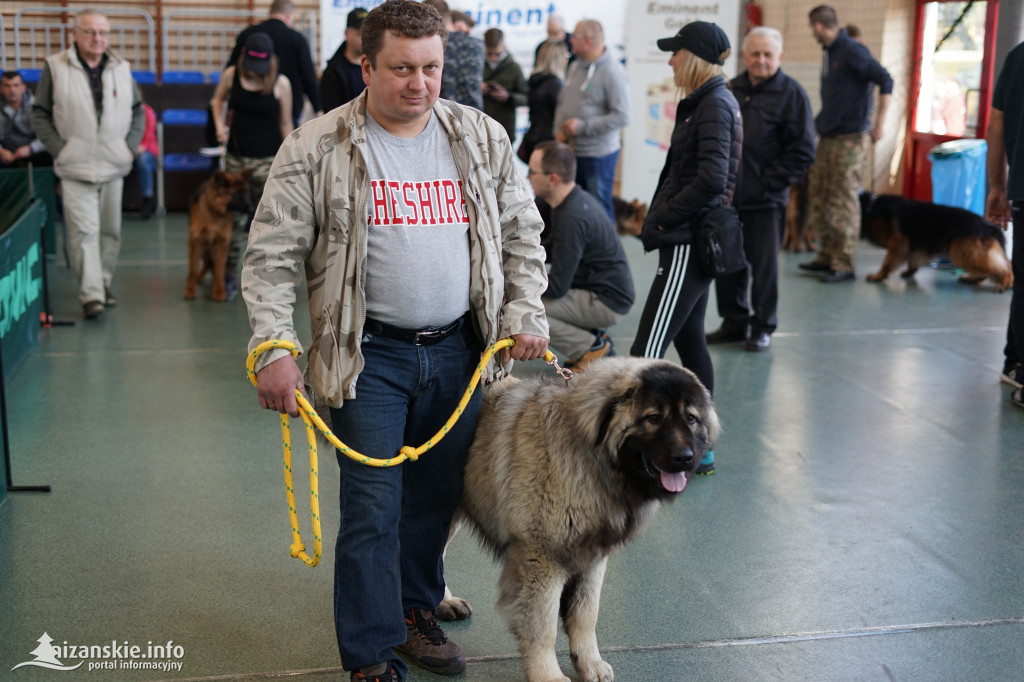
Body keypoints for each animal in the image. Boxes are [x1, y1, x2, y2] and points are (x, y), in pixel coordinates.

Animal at [183, 166, 250, 301]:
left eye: (246, 192)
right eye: (237, 194)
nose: (251, 208)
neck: (214, 212)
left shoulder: (221, 243)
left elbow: (219, 270)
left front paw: (219, 291)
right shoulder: (197, 242)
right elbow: (192, 270)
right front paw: (190, 290)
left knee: (211, 264)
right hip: (204, 248)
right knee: (206, 263)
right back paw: (199, 276)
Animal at [860, 192, 1011, 290]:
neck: (870, 207)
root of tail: (988, 225)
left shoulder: (897, 244)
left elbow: (887, 263)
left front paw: (879, 275)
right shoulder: (914, 245)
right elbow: (913, 261)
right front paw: (910, 271)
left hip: (965, 254)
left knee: (1003, 266)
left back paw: (1005, 281)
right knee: (994, 267)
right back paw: (972, 278)